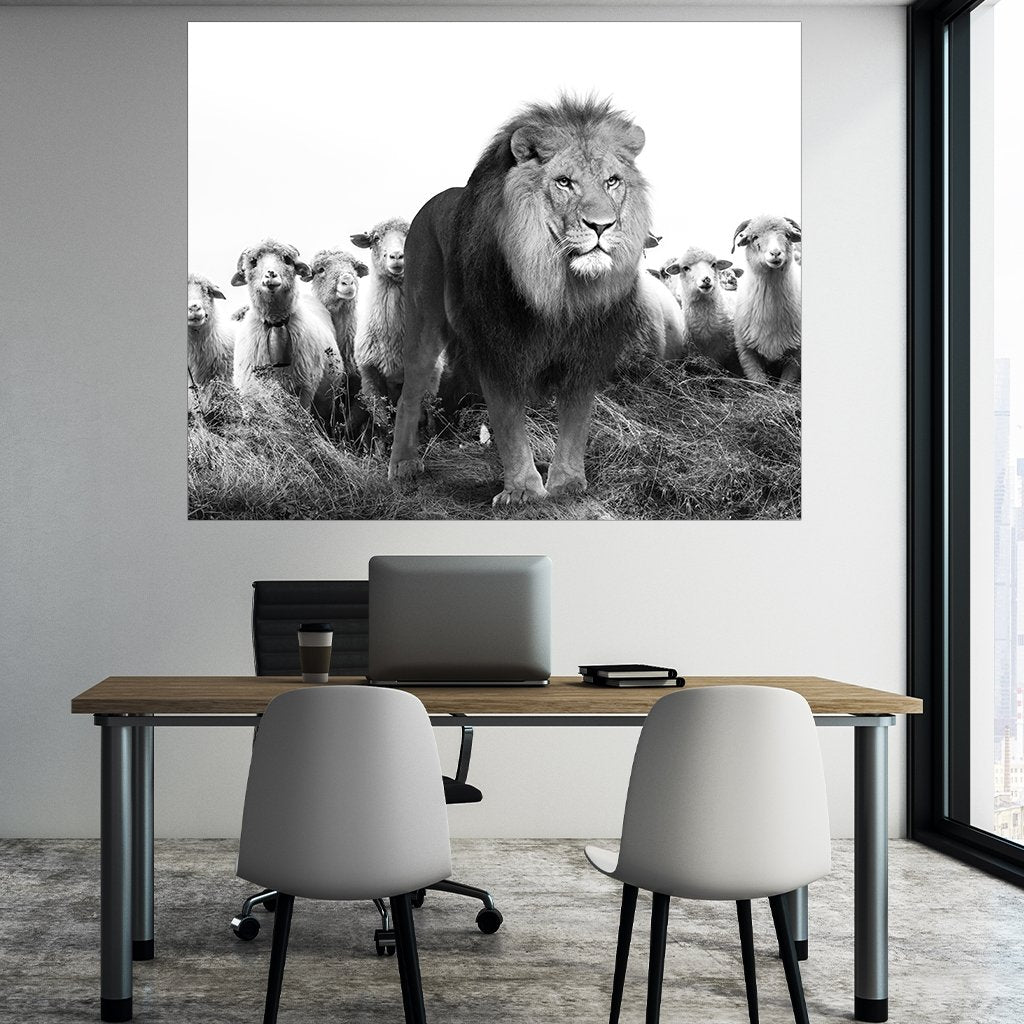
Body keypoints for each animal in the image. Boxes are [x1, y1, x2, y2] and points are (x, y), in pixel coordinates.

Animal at [389, 95, 660, 506]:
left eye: (612, 181)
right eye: (564, 182)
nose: (602, 226)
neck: (559, 289)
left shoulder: (585, 352)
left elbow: (576, 421)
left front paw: (566, 485)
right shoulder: (496, 346)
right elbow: (508, 423)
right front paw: (523, 491)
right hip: (424, 321)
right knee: (411, 390)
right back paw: (403, 464)